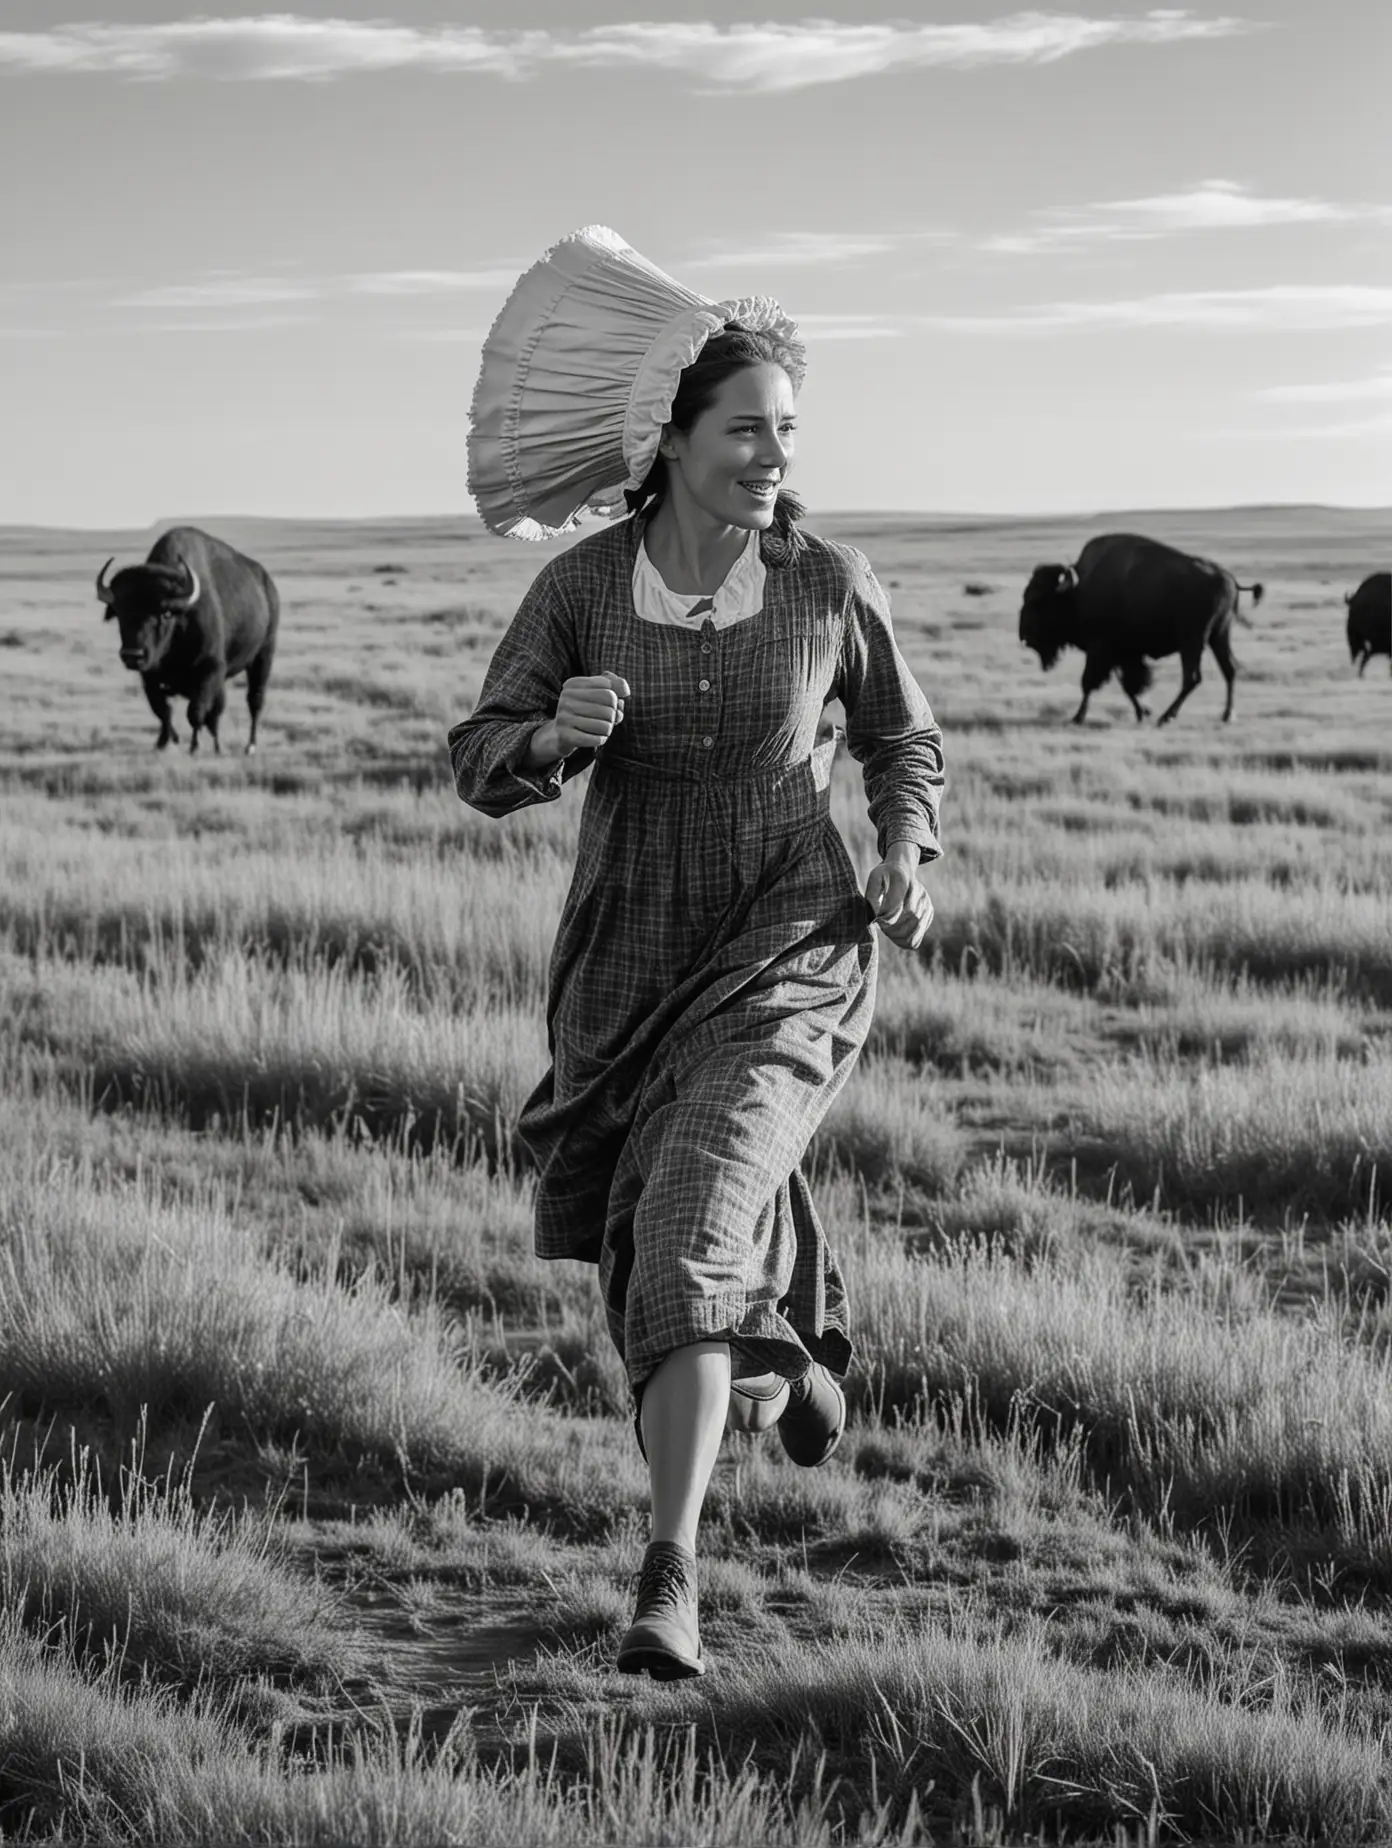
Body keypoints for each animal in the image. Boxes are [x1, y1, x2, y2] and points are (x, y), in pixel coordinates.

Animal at [95, 524, 279, 753]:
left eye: (165, 613)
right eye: (121, 612)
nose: (132, 655)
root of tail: (268, 585)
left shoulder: (209, 671)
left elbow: (195, 712)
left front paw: (194, 746)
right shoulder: (149, 677)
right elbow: (162, 710)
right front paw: (164, 742)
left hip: (263, 656)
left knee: (254, 700)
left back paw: (250, 746)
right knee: (218, 713)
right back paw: (218, 746)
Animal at [1013, 532, 1264, 724]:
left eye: (1039, 601)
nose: (1024, 636)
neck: (1078, 591)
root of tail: (1230, 578)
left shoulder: (1101, 650)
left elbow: (1089, 682)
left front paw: (1078, 717)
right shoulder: (1123, 655)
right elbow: (1129, 685)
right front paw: (1142, 712)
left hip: (1193, 641)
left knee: (1192, 678)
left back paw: (1167, 717)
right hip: (1219, 635)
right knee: (1228, 670)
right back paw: (1226, 715)